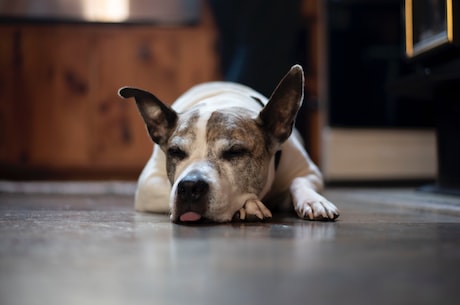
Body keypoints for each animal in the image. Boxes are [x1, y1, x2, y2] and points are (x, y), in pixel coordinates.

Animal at [120, 64, 340, 221]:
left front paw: (314, 200)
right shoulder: (147, 184)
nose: (190, 186)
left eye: (235, 152)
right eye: (176, 152)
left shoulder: (309, 171)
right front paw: (248, 205)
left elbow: (299, 181)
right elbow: (168, 187)